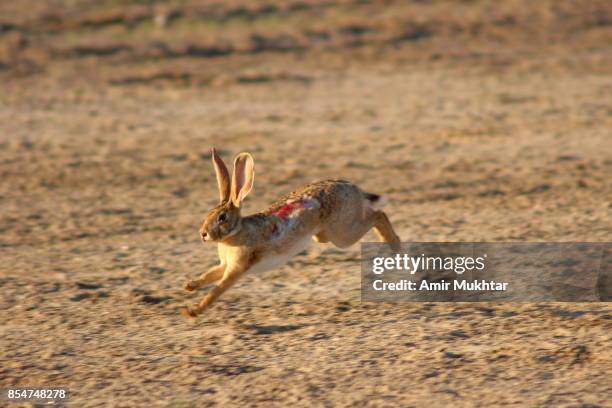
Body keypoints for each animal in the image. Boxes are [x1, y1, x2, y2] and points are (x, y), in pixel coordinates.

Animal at [182, 148, 402, 318]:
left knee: (378, 215)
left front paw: (192, 312)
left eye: (222, 218)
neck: (235, 233)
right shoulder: (225, 265)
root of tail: (355, 188)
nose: (202, 234)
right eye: (208, 214)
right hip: (327, 235)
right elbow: (208, 275)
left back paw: (395, 246)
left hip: (342, 234)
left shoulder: (237, 267)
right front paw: (189, 286)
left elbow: (217, 290)